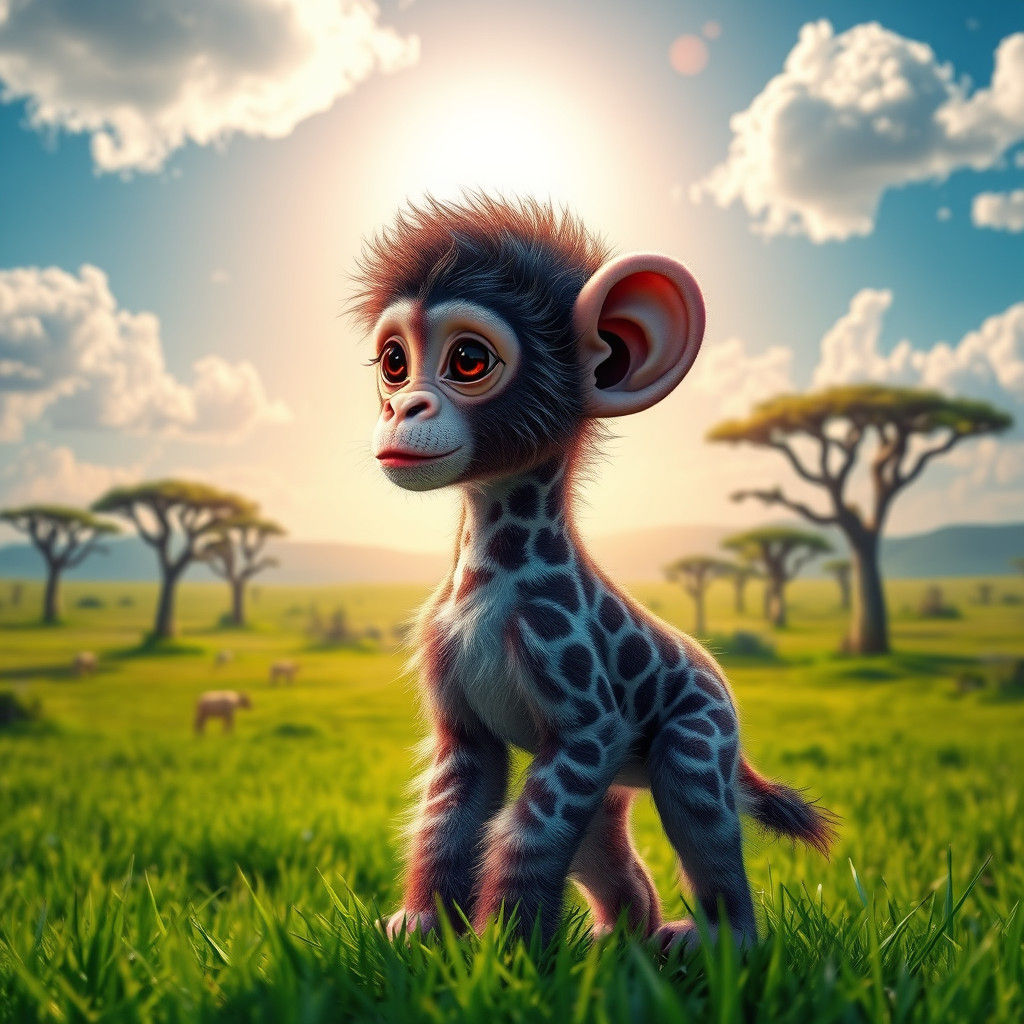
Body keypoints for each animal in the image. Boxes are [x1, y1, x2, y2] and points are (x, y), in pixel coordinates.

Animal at [353, 194, 835, 948]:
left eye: (468, 359)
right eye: (394, 362)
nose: (402, 407)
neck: (489, 578)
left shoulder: (589, 728)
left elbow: (529, 829)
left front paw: (508, 949)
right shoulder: (468, 730)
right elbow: (449, 815)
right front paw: (424, 929)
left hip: (694, 746)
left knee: (703, 829)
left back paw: (714, 942)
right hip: (614, 788)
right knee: (613, 860)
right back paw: (616, 941)